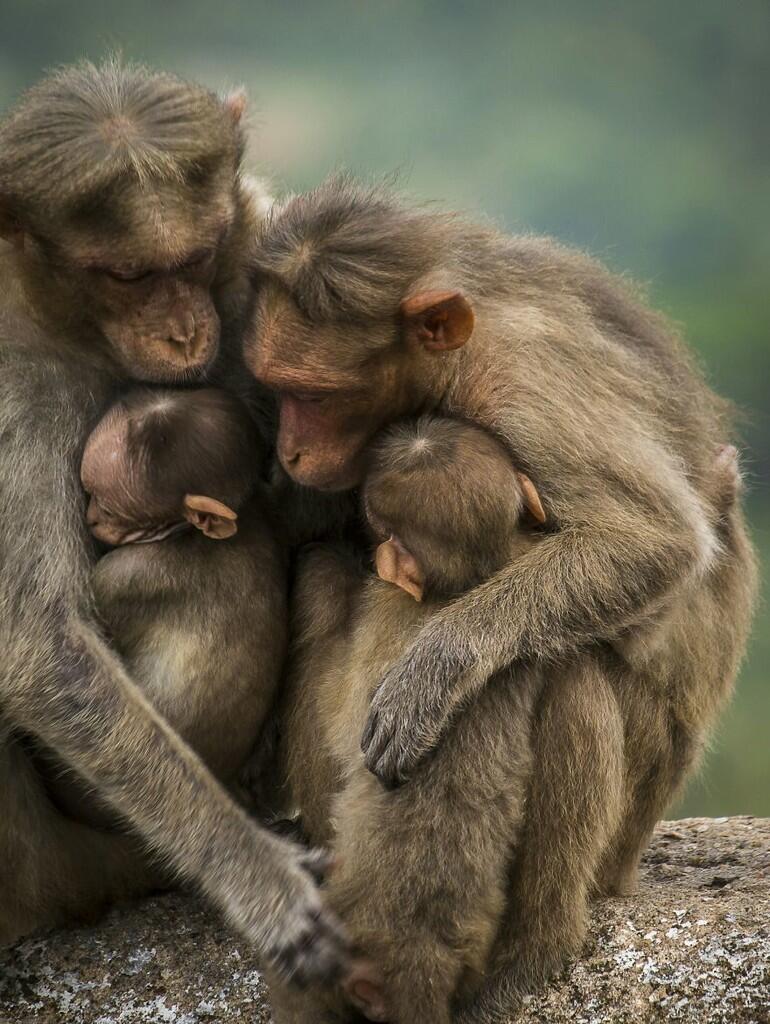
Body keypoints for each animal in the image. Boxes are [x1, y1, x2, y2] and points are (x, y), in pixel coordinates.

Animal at [0, 61, 348, 983]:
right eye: (125, 276)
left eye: (192, 258)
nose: (186, 329)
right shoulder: (13, 381)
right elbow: (39, 643)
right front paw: (254, 872)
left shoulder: (257, 252)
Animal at [241, 176, 757, 1007]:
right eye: (277, 389)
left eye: (315, 397)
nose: (289, 450)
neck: (451, 367)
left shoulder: (524, 381)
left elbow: (653, 538)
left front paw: (436, 669)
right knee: (323, 576)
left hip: (636, 811)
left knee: (570, 670)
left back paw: (536, 945)